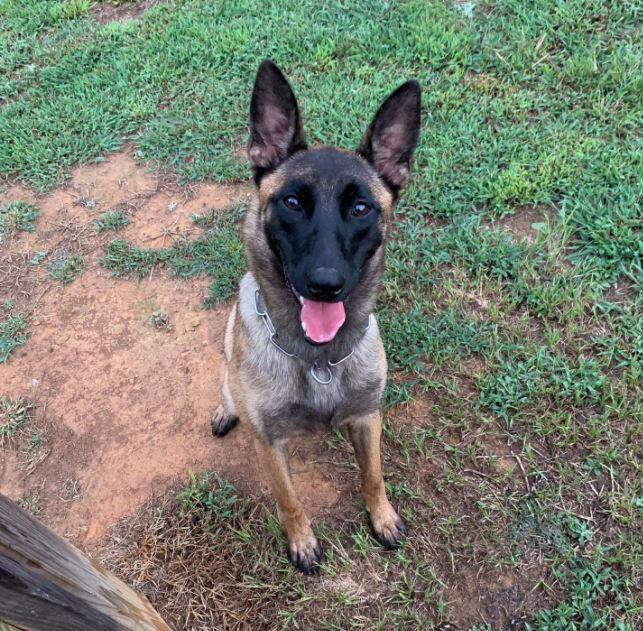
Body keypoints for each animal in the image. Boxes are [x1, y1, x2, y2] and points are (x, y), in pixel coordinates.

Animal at [211, 59, 422, 572]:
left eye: (361, 208)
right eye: (292, 202)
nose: (325, 284)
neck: (316, 358)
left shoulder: (367, 417)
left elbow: (373, 476)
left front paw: (382, 518)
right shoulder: (270, 444)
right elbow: (289, 500)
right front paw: (302, 542)